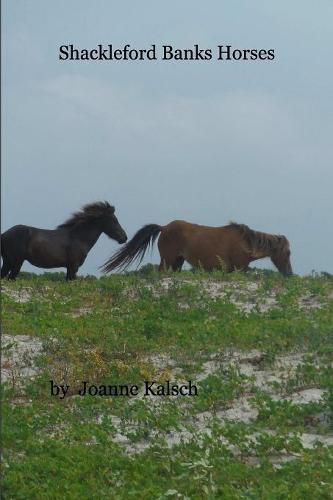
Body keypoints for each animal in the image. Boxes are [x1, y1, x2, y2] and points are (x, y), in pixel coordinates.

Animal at [102, 221, 292, 278]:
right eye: (288, 252)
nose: (289, 273)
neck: (246, 243)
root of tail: (164, 227)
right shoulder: (239, 269)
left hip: (177, 262)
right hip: (168, 260)